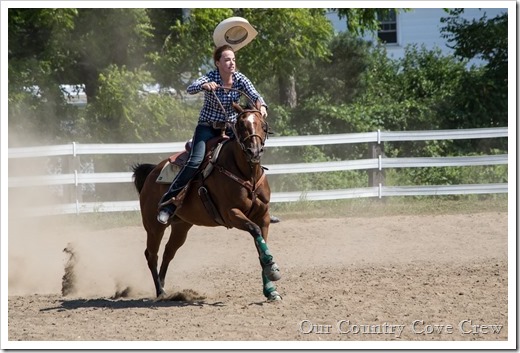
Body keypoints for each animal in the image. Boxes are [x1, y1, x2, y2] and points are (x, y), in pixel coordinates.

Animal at [132, 100, 282, 302]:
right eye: (241, 125)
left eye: (263, 125)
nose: (254, 151)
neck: (247, 175)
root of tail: (152, 172)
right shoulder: (231, 213)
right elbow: (254, 230)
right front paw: (272, 269)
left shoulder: (264, 216)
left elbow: (260, 244)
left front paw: (270, 288)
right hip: (153, 226)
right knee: (151, 255)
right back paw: (160, 292)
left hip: (181, 226)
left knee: (168, 252)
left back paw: (165, 287)